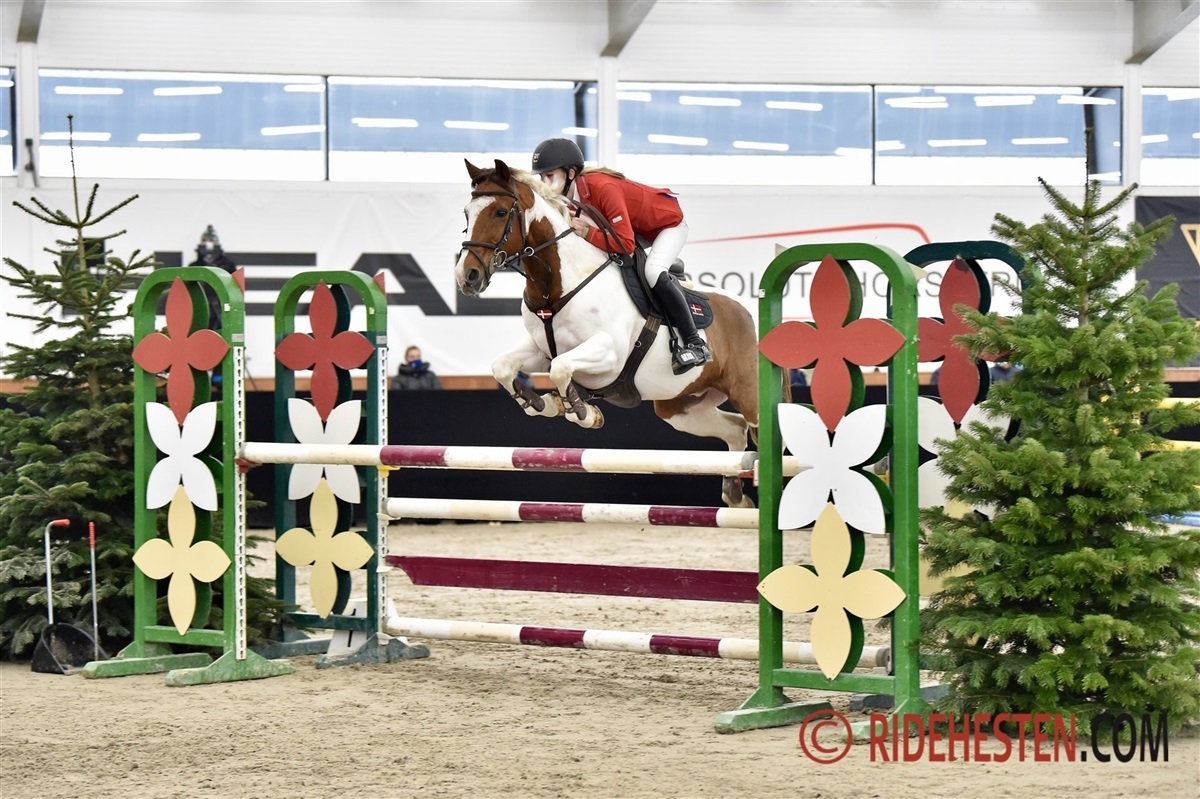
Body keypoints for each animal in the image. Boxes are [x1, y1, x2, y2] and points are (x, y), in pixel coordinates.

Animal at [454, 159, 762, 507]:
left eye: (500, 212)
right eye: (467, 213)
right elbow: (504, 367)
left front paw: (583, 412)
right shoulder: (540, 349)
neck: (558, 284)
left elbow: (561, 370)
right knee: (735, 429)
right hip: (681, 407)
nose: (466, 277)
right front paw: (543, 403)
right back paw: (736, 496)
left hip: (749, 395)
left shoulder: (609, 354)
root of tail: (750, 312)